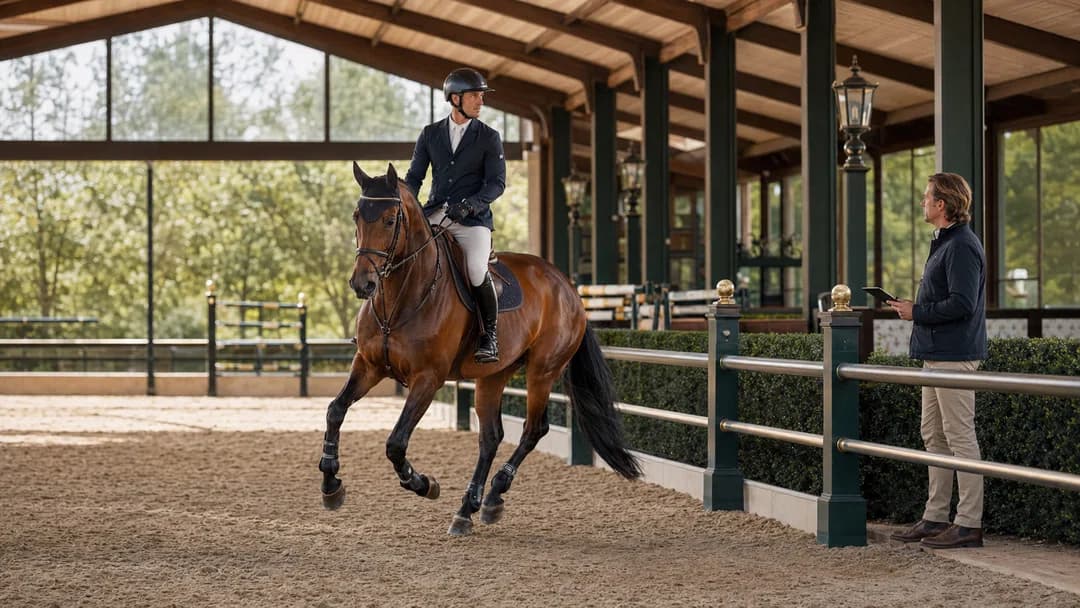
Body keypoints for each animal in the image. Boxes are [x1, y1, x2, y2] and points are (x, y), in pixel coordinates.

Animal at [318, 162, 642, 536]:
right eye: (357, 216)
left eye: (389, 219)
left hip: (542, 371)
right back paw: (468, 508)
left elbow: (396, 443)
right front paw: (330, 483)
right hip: (493, 376)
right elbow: (335, 410)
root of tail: (567, 286)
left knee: (533, 430)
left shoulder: (427, 378)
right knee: (490, 437)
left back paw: (493, 495)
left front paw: (424, 484)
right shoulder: (368, 365)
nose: (363, 284)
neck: (399, 298)